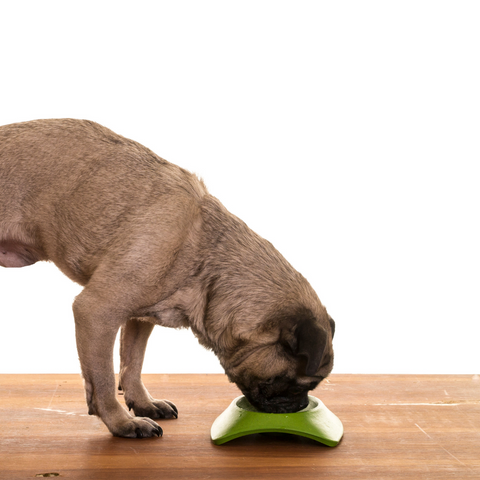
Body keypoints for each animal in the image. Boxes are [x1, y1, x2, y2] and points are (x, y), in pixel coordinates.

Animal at [0, 120, 336, 438]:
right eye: (293, 383)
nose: (299, 404)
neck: (203, 252)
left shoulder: (137, 318)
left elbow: (131, 363)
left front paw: (142, 403)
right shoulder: (97, 313)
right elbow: (104, 379)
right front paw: (121, 422)